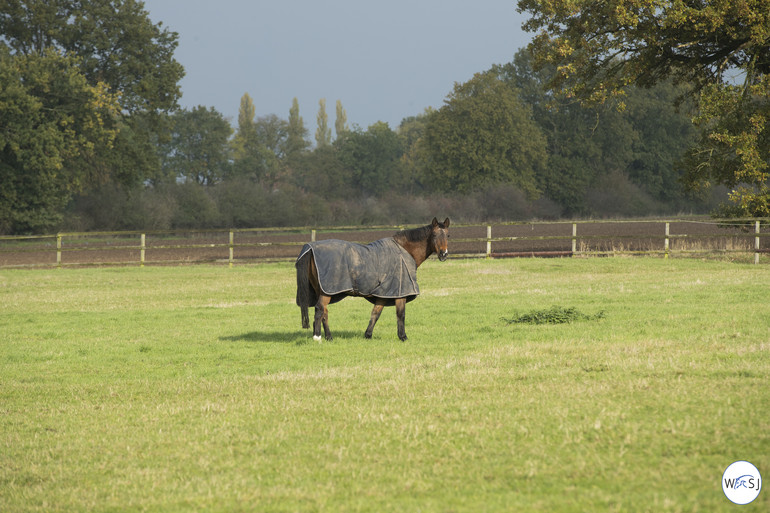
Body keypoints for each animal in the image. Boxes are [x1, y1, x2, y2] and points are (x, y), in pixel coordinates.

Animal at [296, 216, 450, 340]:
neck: (405, 250)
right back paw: (317, 337)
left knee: (325, 312)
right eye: (434, 234)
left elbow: (376, 313)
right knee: (319, 309)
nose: (444, 254)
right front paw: (403, 337)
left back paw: (329, 337)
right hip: (326, 291)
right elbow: (401, 314)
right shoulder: (400, 292)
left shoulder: (385, 293)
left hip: (322, 290)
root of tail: (310, 248)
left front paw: (368, 335)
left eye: (448, 235)